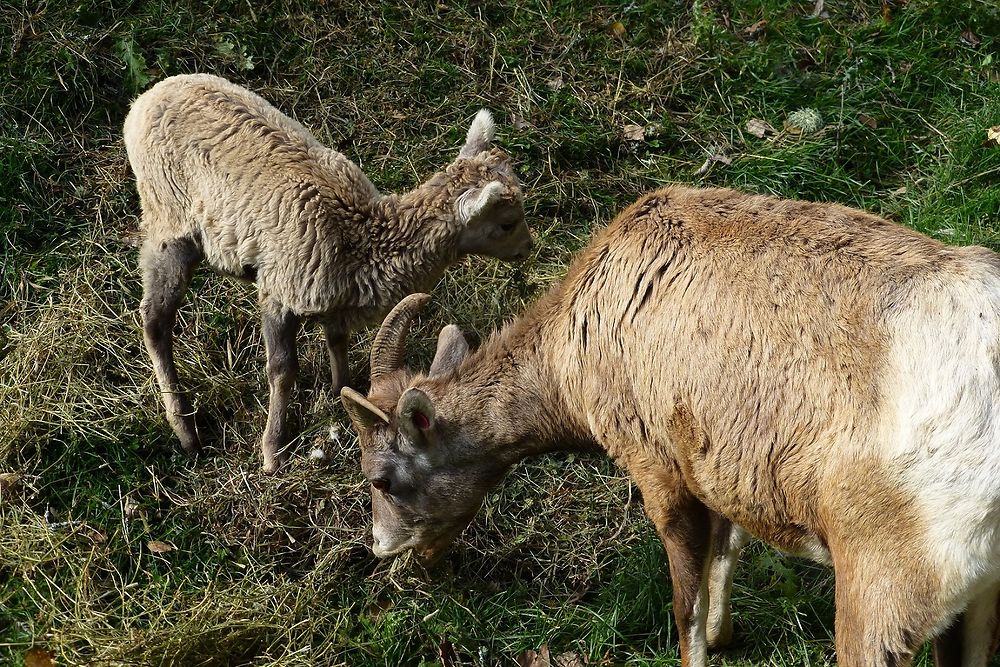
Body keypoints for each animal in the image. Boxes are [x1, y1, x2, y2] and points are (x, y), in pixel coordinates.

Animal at [124, 74, 532, 474]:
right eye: (507, 223)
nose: (527, 248)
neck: (363, 240)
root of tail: (143, 101)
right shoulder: (278, 289)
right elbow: (282, 369)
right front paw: (273, 451)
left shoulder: (334, 297)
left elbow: (337, 339)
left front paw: (342, 391)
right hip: (168, 220)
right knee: (154, 319)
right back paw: (185, 429)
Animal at [342, 187, 1000, 667]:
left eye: (381, 479)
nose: (384, 549)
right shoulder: (716, 468)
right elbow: (727, 551)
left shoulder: (661, 472)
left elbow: (686, 605)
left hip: (879, 602)